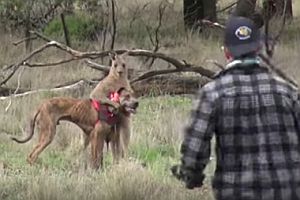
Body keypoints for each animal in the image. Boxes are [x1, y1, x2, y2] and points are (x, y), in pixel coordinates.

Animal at [10, 87, 138, 169]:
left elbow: (109, 158)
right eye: (127, 96)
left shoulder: (111, 139)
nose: (137, 103)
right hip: (48, 135)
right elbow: (96, 158)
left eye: (134, 94)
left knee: (31, 155)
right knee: (32, 155)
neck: (111, 108)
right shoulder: (97, 136)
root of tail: (41, 106)